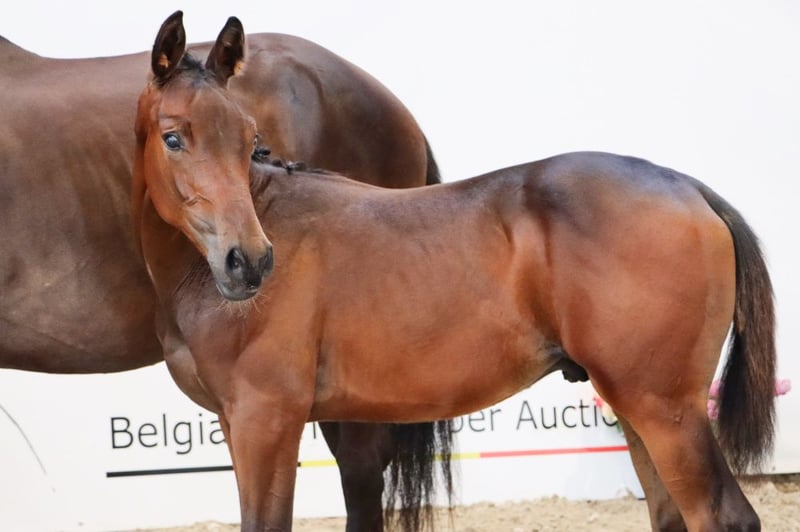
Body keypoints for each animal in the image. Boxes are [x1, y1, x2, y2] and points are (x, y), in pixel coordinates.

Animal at [134, 13, 776, 532]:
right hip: (637, 406)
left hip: (666, 410)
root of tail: (687, 187)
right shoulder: (241, 426)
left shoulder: (266, 421)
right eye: (174, 138)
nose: (249, 261)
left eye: (250, 139)